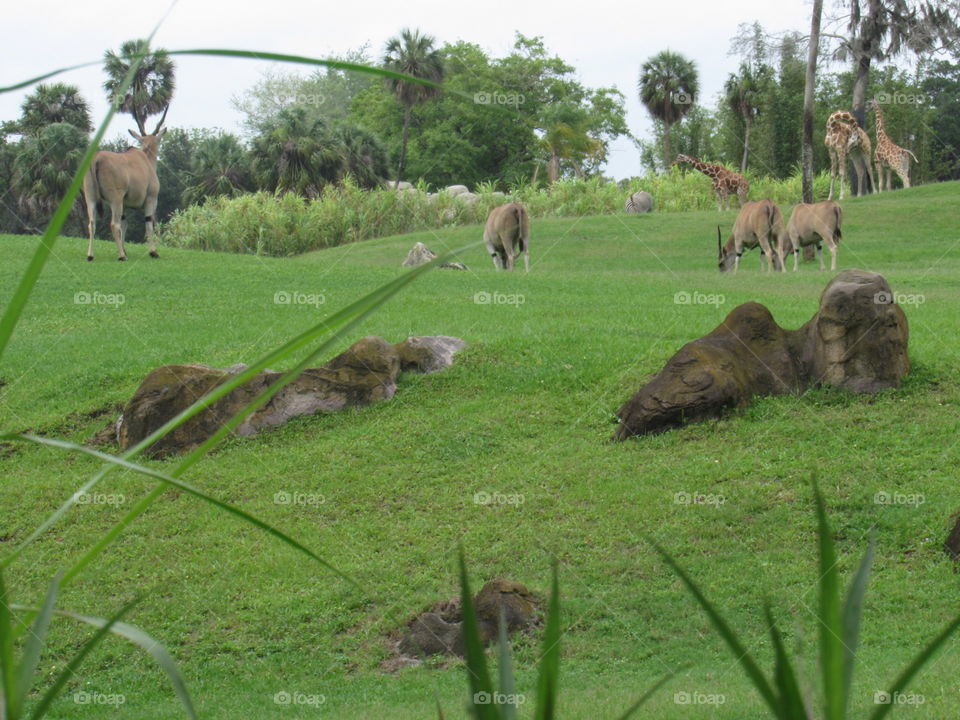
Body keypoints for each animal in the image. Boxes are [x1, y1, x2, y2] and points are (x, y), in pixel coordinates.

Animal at [81, 108, 168, 260]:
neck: (146, 159)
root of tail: (96, 159)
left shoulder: (125, 204)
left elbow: (125, 224)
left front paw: (124, 249)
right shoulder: (151, 199)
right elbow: (148, 223)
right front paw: (153, 251)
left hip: (91, 197)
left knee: (92, 223)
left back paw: (90, 255)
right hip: (115, 200)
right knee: (114, 224)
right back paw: (122, 256)